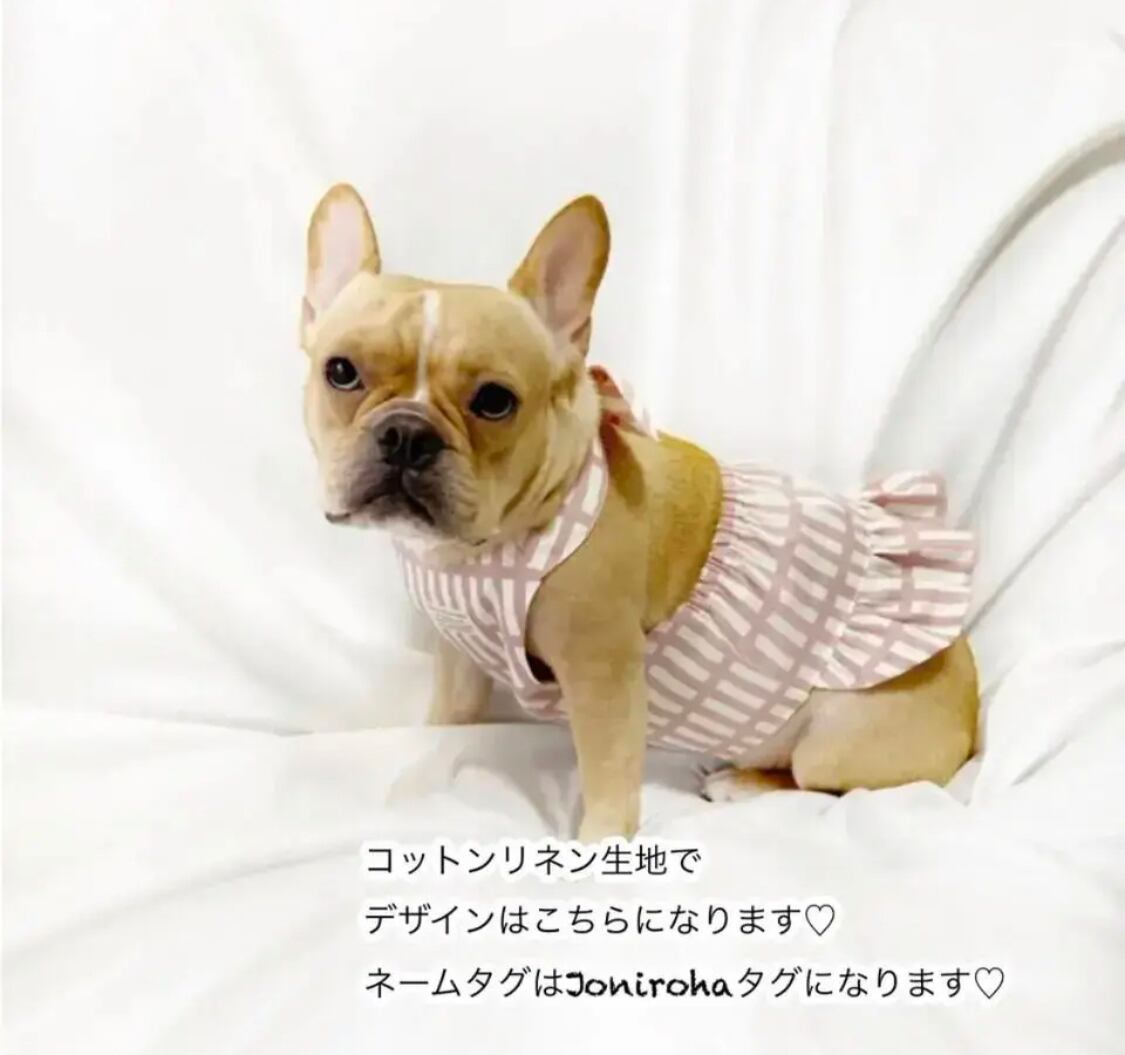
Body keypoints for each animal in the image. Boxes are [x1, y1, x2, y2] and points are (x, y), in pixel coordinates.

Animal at [298, 184, 979, 842]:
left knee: (820, 783)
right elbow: (450, 718)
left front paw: (599, 844)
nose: (407, 434)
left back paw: (742, 783)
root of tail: (974, 716)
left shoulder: (602, 672)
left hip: (837, 741)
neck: (496, 543)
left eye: (494, 401)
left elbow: (608, 771)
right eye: (341, 372)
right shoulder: (461, 661)